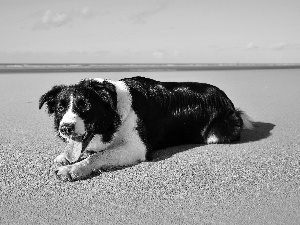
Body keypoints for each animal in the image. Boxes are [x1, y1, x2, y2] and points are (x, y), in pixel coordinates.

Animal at [38, 76, 252, 181]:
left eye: (85, 106)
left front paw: (73, 169)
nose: (65, 128)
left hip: (217, 132)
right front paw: (65, 158)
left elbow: (98, 156)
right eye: (60, 108)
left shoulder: (137, 148)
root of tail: (230, 103)